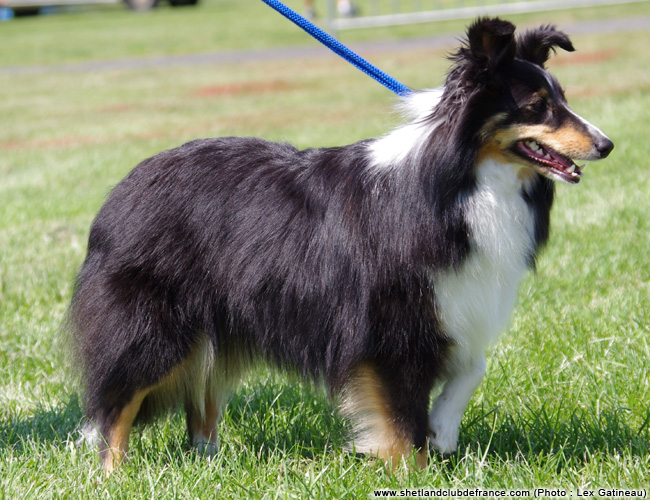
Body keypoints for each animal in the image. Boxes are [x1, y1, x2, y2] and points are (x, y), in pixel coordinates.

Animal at [67, 18, 612, 472]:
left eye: (563, 100)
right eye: (536, 107)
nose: (607, 145)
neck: (460, 182)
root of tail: (120, 193)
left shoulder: (455, 301)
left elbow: (473, 367)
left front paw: (443, 431)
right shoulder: (390, 329)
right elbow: (402, 421)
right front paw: (413, 472)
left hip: (215, 323)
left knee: (200, 401)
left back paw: (209, 465)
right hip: (152, 327)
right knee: (115, 405)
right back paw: (113, 476)